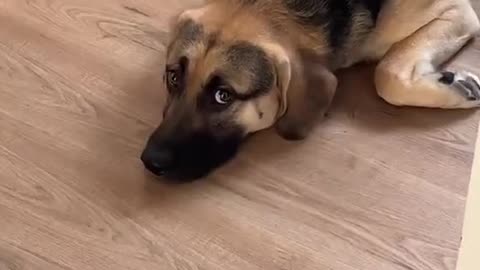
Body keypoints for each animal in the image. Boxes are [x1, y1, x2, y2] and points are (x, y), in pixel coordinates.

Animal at [141, 0, 480, 181]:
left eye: (223, 96)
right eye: (173, 78)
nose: (150, 161)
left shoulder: (457, 11)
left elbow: (387, 75)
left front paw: (459, 87)